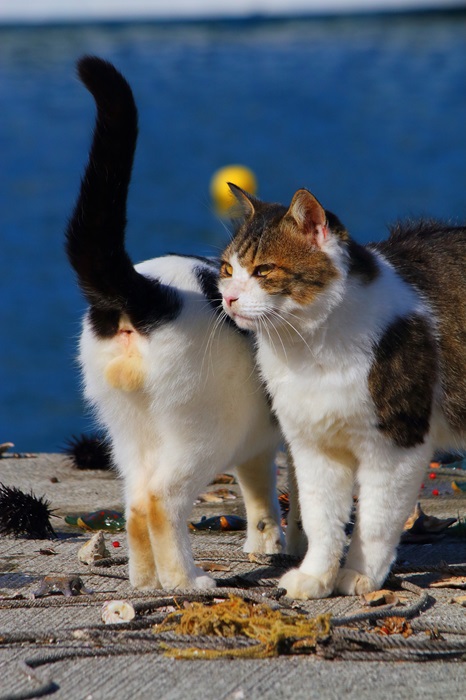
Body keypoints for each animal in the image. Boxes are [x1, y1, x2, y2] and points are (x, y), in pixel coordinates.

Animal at [65, 57, 284, 592]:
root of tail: (146, 291)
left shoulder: (261, 440)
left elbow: (261, 492)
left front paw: (267, 542)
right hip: (202, 432)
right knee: (159, 502)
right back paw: (185, 580)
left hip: (127, 432)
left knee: (133, 503)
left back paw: (146, 581)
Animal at [219, 183, 466, 600]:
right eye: (226, 270)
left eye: (263, 270)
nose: (228, 298)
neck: (308, 349)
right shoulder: (313, 449)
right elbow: (319, 519)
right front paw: (316, 576)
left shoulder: (396, 445)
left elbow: (376, 520)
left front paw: (361, 574)